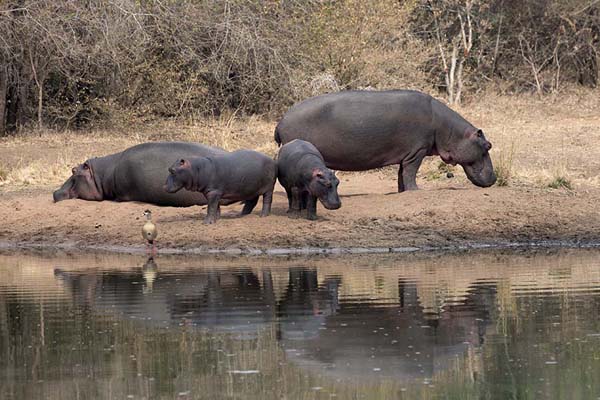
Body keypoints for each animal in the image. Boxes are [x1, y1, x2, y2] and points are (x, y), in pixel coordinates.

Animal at [276, 89, 496, 192]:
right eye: (488, 145)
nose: (494, 178)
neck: (448, 129)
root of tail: (281, 121)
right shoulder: (417, 152)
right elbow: (411, 172)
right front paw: (416, 191)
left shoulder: (406, 154)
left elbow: (401, 174)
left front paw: (402, 192)